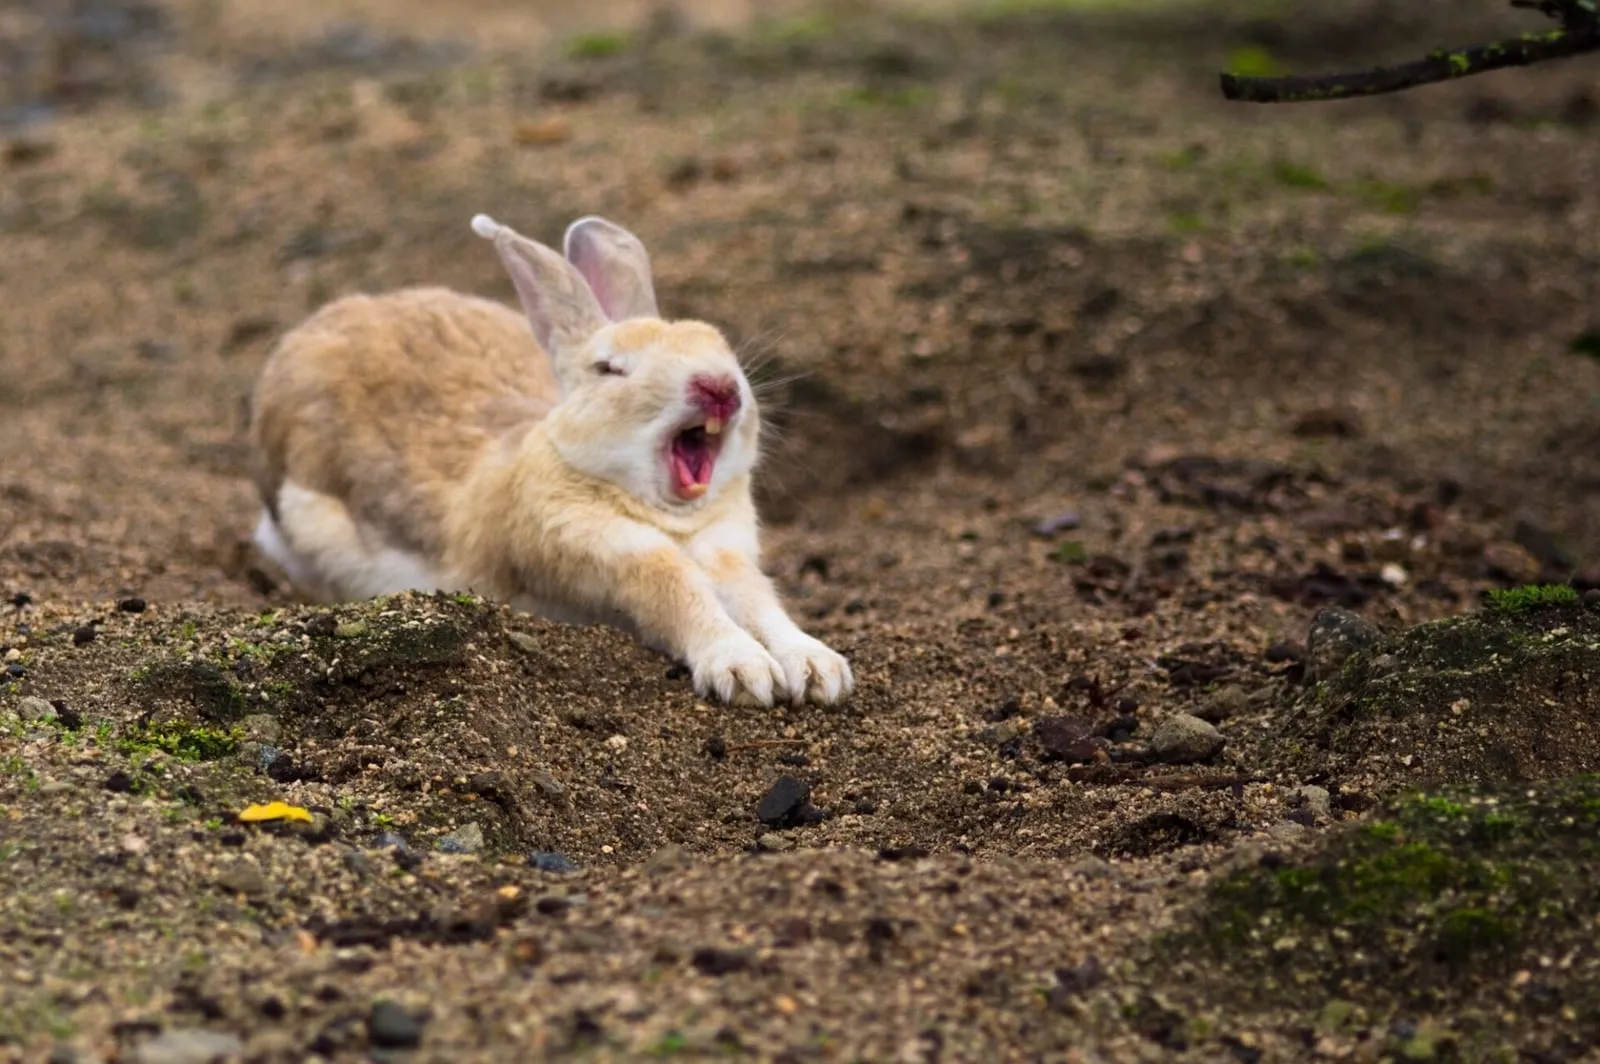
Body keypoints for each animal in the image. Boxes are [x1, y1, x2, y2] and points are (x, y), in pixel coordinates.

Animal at [246, 213, 854, 708]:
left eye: (720, 344)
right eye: (609, 368)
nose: (720, 387)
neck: (664, 514)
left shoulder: (726, 552)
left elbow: (758, 600)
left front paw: (818, 670)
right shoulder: (608, 555)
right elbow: (676, 593)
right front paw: (745, 671)